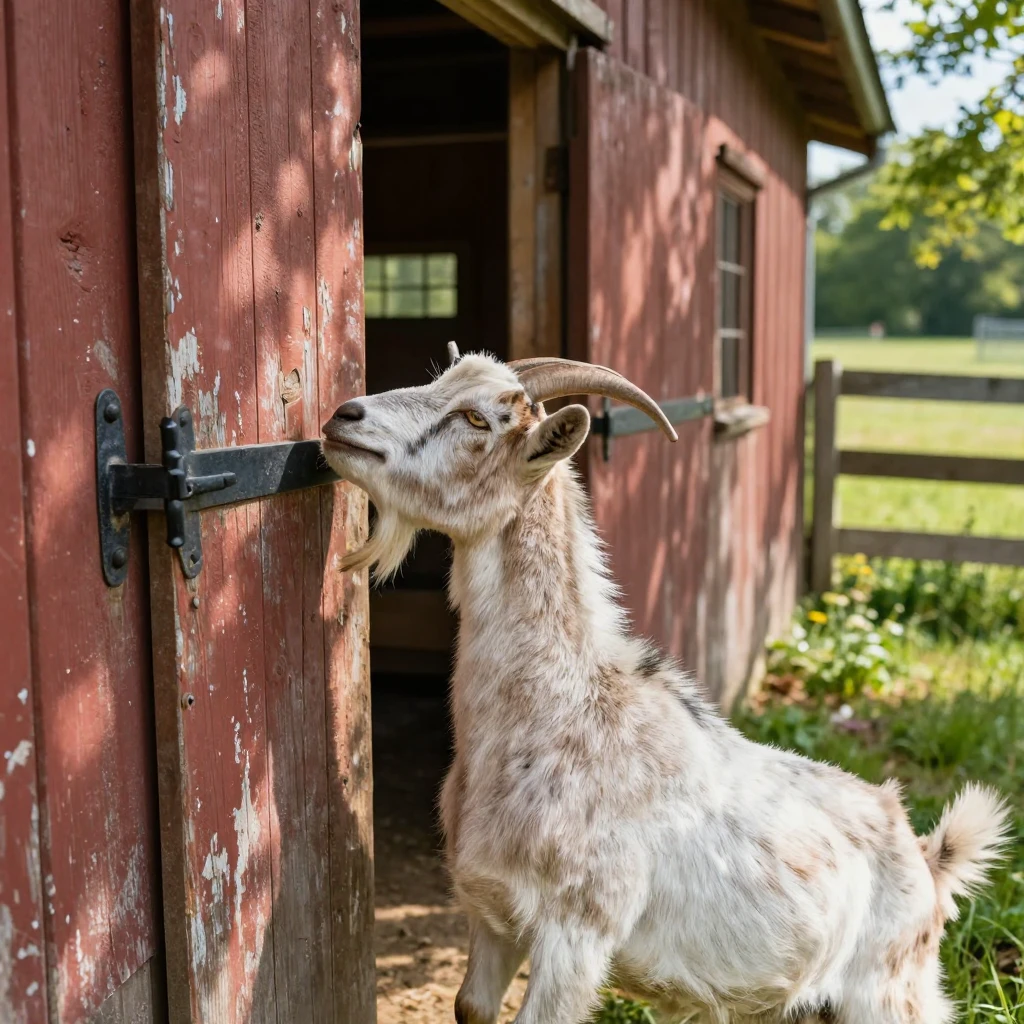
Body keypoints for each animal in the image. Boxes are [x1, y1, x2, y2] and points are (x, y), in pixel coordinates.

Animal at [321, 346, 1009, 1024]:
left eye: (476, 418)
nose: (344, 416)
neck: (558, 715)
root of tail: (928, 858)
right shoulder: (491, 916)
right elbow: (469, 1006)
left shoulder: (577, 933)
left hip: (891, 993)